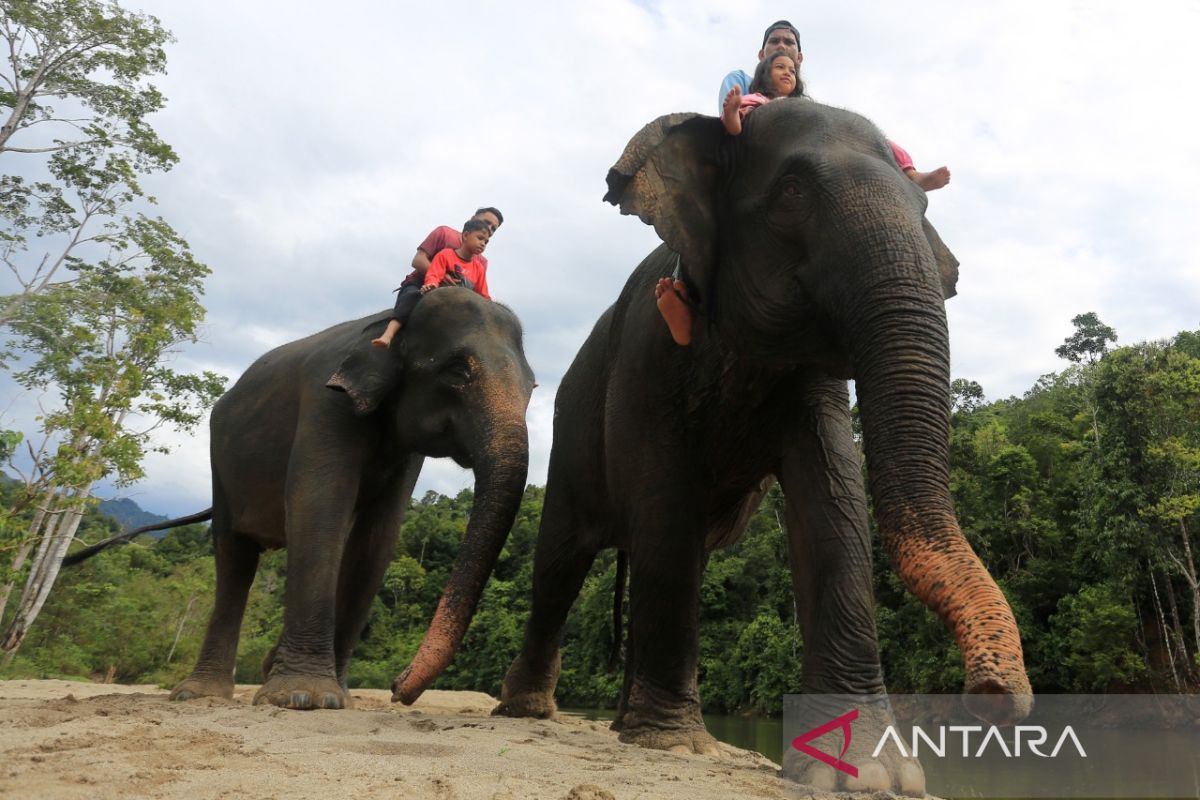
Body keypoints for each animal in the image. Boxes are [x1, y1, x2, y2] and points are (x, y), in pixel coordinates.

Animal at [66, 289, 535, 714]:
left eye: (532, 387)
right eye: (458, 371)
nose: (398, 688)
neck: (389, 322)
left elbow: (377, 537)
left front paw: (334, 697)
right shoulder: (327, 402)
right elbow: (319, 505)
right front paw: (304, 698)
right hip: (223, 465)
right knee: (234, 557)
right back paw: (199, 695)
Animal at [494, 104, 1032, 796]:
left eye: (923, 207)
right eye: (791, 194)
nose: (992, 695)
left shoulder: (811, 385)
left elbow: (832, 500)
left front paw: (866, 773)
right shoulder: (647, 354)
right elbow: (665, 501)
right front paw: (678, 745)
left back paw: (621, 726)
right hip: (569, 430)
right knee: (562, 559)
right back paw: (530, 710)